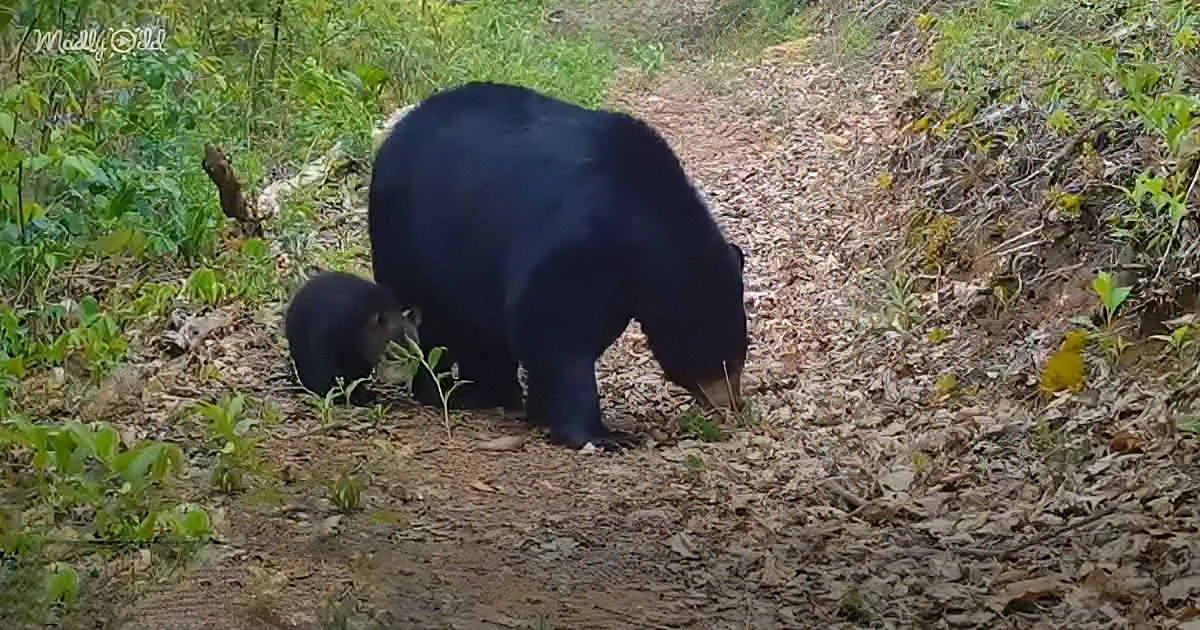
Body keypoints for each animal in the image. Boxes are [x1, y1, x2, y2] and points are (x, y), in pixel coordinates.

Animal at [367, 81, 748, 449]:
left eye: (739, 355)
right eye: (723, 358)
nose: (733, 404)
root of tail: (397, 131)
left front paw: (541, 411)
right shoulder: (574, 244)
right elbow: (553, 329)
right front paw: (601, 434)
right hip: (408, 241)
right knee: (431, 324)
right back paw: (442, 390)